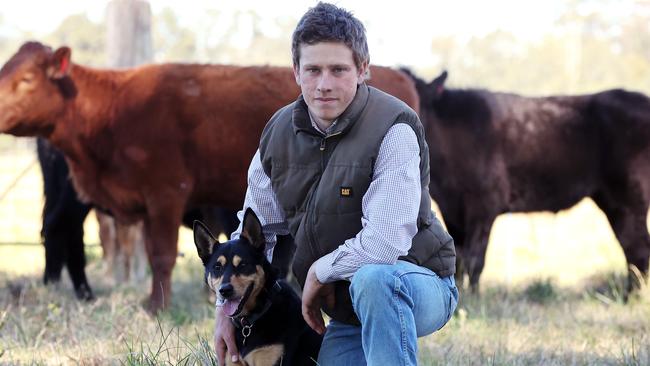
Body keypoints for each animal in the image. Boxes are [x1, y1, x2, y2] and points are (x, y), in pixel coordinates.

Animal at [402, 69, 644, 294]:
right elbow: (458, 259)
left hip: (629, 198)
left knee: (637, 248)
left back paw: (631, 296)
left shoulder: (485, 204)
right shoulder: (451, 209)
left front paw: (474, 297)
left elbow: (474, 259)